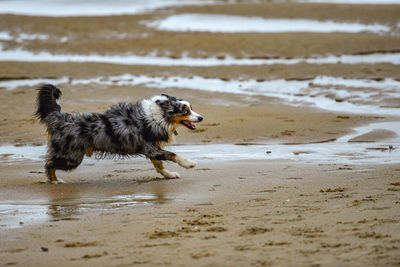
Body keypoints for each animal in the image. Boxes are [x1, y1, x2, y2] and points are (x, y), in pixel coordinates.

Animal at [35, 84, 203, 184]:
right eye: (185, 111)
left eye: (191, 108)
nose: (201, 117)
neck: (159, 116)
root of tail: (61, 118)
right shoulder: (151, 148)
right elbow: (173, 155)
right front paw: (189, 163)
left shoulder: (152, 149)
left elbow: (159, 165)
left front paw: (169, 175)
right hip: (72, 157)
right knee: (49, 164)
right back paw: (55, 181)